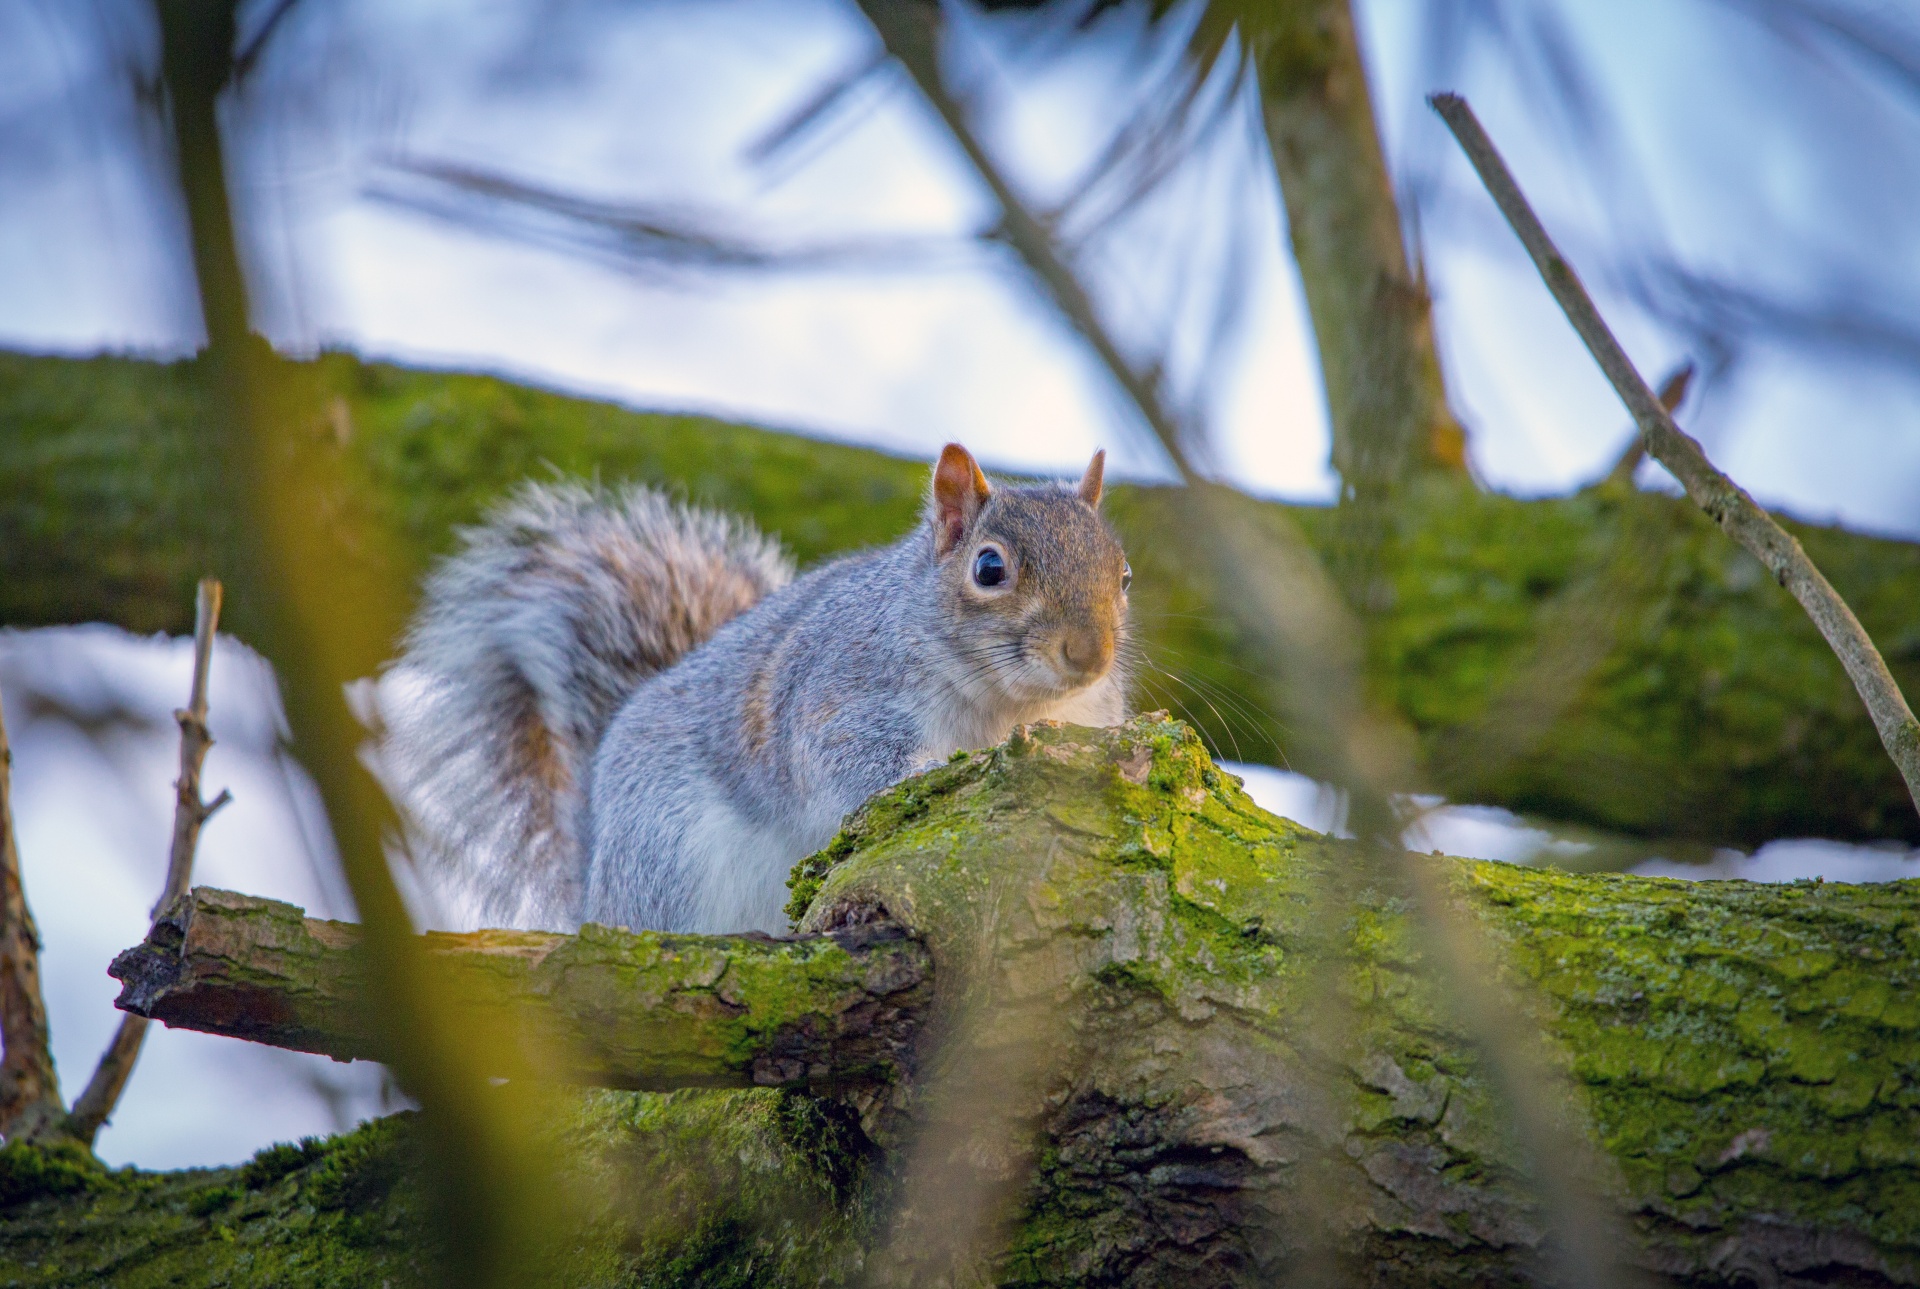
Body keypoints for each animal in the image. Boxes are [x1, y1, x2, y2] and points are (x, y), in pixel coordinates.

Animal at [362, 443, 1121, 937]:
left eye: (1124, 574)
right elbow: (849, 761)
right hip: (665, 855)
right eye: (989, 568)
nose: (1089, 655)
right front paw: (925, 770)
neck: (1002, 706)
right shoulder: (837, 694)